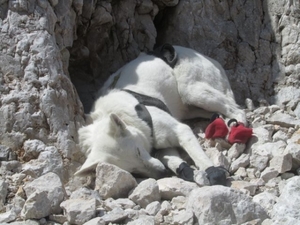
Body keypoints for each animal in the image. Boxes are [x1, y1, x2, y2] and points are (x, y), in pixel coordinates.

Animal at [75, 44, 246, 185]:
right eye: (133, 171)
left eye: (138, 152)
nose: (162, 174)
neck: (129, 117)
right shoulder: (163, 147)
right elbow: (176, 162)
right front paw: (190, 173)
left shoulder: (181, 131)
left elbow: (199, 156)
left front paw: (212, 171)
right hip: (188, 106)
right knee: (217, 112)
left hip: (192, 91)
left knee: (236, 109)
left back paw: (238, 129)